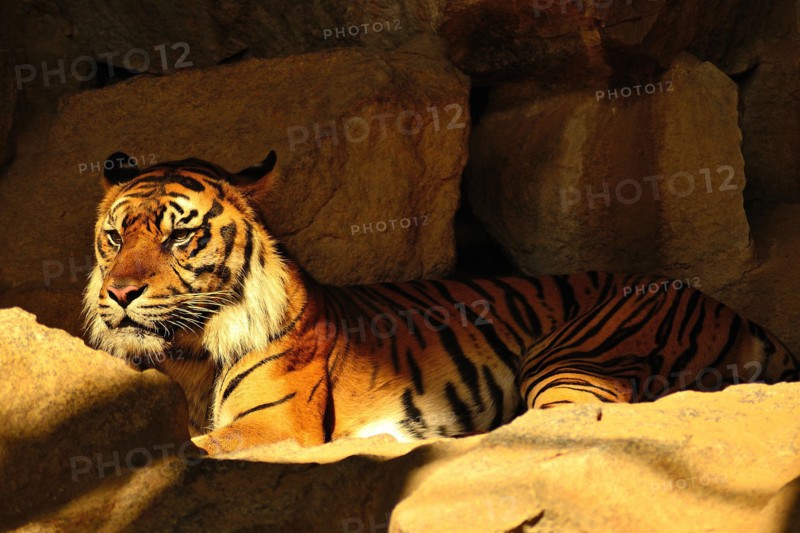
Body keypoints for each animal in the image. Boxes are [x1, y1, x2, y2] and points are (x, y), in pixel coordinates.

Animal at [83, 150, 800, 454]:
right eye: (115, 236)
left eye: (179, 235)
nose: (120, 292)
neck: (187, 350)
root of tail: (729, 308)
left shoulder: (275, 423)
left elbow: (196, 445)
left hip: (574, 353)